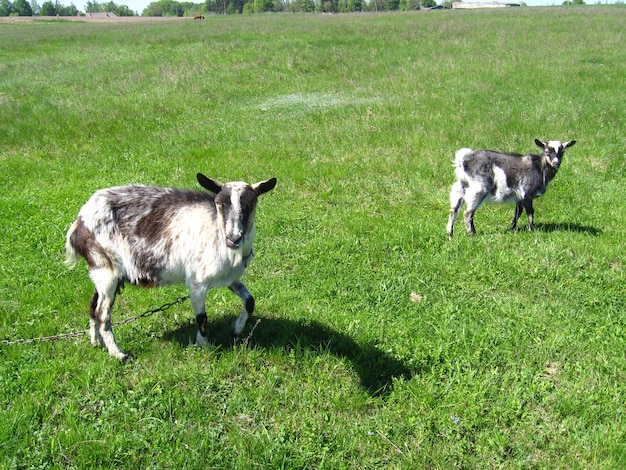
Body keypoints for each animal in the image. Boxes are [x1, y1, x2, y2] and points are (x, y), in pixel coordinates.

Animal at [65, 173, 276, 360]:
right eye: (219, 203)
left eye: (251, 204)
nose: (233, 238)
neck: (215, 232)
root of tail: (78, 225)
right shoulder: (197, 282)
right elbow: (202, 317)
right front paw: (205, 345)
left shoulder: (230, 278)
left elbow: (250, 301)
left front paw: (235, 330)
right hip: (107, 269)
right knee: (102, 314)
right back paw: (118, 354)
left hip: (103, 272)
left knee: (93, 304)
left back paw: (96, 342)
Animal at [444, 138, 576, 237]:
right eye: (547, 152)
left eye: (562, 152)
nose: (556, 163)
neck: (540, 167)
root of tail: (463, 162)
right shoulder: (526, 193)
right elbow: (530, 212)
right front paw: (531, 229)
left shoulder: (519, 196)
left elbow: (518, 212)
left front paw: (512, 228)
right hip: (478, 189)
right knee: (468, 213)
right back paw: (472, 234)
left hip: (460, 187)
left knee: (454, 210)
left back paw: (450, 234)